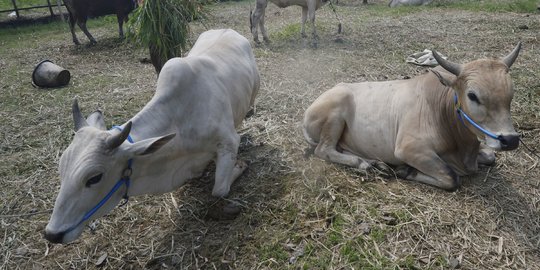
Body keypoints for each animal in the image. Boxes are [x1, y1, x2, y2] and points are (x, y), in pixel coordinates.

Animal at [44, 28, 260, 244]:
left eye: (94, 178)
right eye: (61, 168)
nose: (52, 234)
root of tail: (227, 30)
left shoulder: (228, 142)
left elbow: (219, 190)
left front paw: (240, 166)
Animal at [302, 43, 520, 190]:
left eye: (511, 94)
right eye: (472, 95)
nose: (510, 140)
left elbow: (491, 156)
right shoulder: (409, 149)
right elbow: (451, 178)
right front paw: (406, 170)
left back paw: (376, 163)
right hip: (335, 113)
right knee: (323, 150)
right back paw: (363, 163)